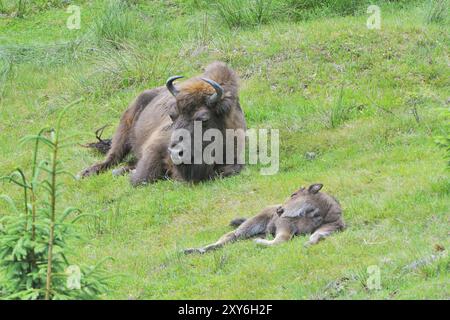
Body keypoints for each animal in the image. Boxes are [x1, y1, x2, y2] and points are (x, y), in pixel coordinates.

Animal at [79, 61, 244, 186]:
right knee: (113, 156)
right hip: (123, 129)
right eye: (172, 115)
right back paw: (86, 173)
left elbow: (228, 170)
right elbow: (140, 179)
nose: (176, 152)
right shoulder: (155, 146)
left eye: (203, 118)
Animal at [185, 182, 346, 255]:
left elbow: (318, 235)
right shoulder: (285, 225)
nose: (279, 210)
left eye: (294, 194)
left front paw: (308, 243)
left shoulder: (332, 226)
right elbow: (282, 240)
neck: (314, 215)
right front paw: (259, 243)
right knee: (230, 236)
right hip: (251, 224)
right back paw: (193, 250)